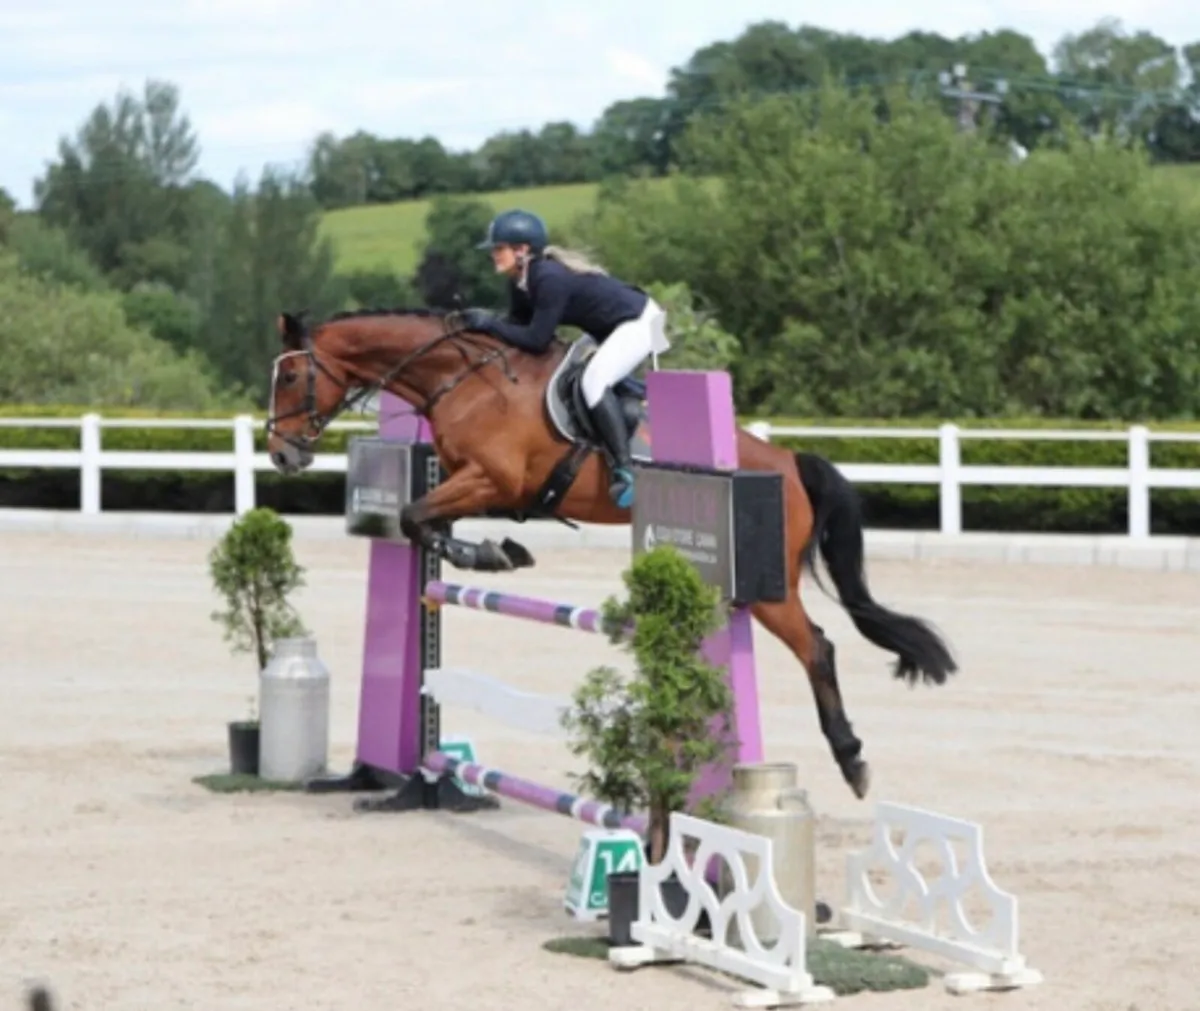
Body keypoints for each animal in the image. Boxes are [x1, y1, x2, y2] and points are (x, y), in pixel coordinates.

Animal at [263, 306, 957, 799]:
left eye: (291, 375)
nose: (280, 453)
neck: (460, 381)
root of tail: (785, 460)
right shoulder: (462, 481)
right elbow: (419, 523)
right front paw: (494, 550)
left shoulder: (492, 480)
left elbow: (414, 516)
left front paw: (495, 553)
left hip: (770, 591)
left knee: (818, 647)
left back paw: (851, 759)